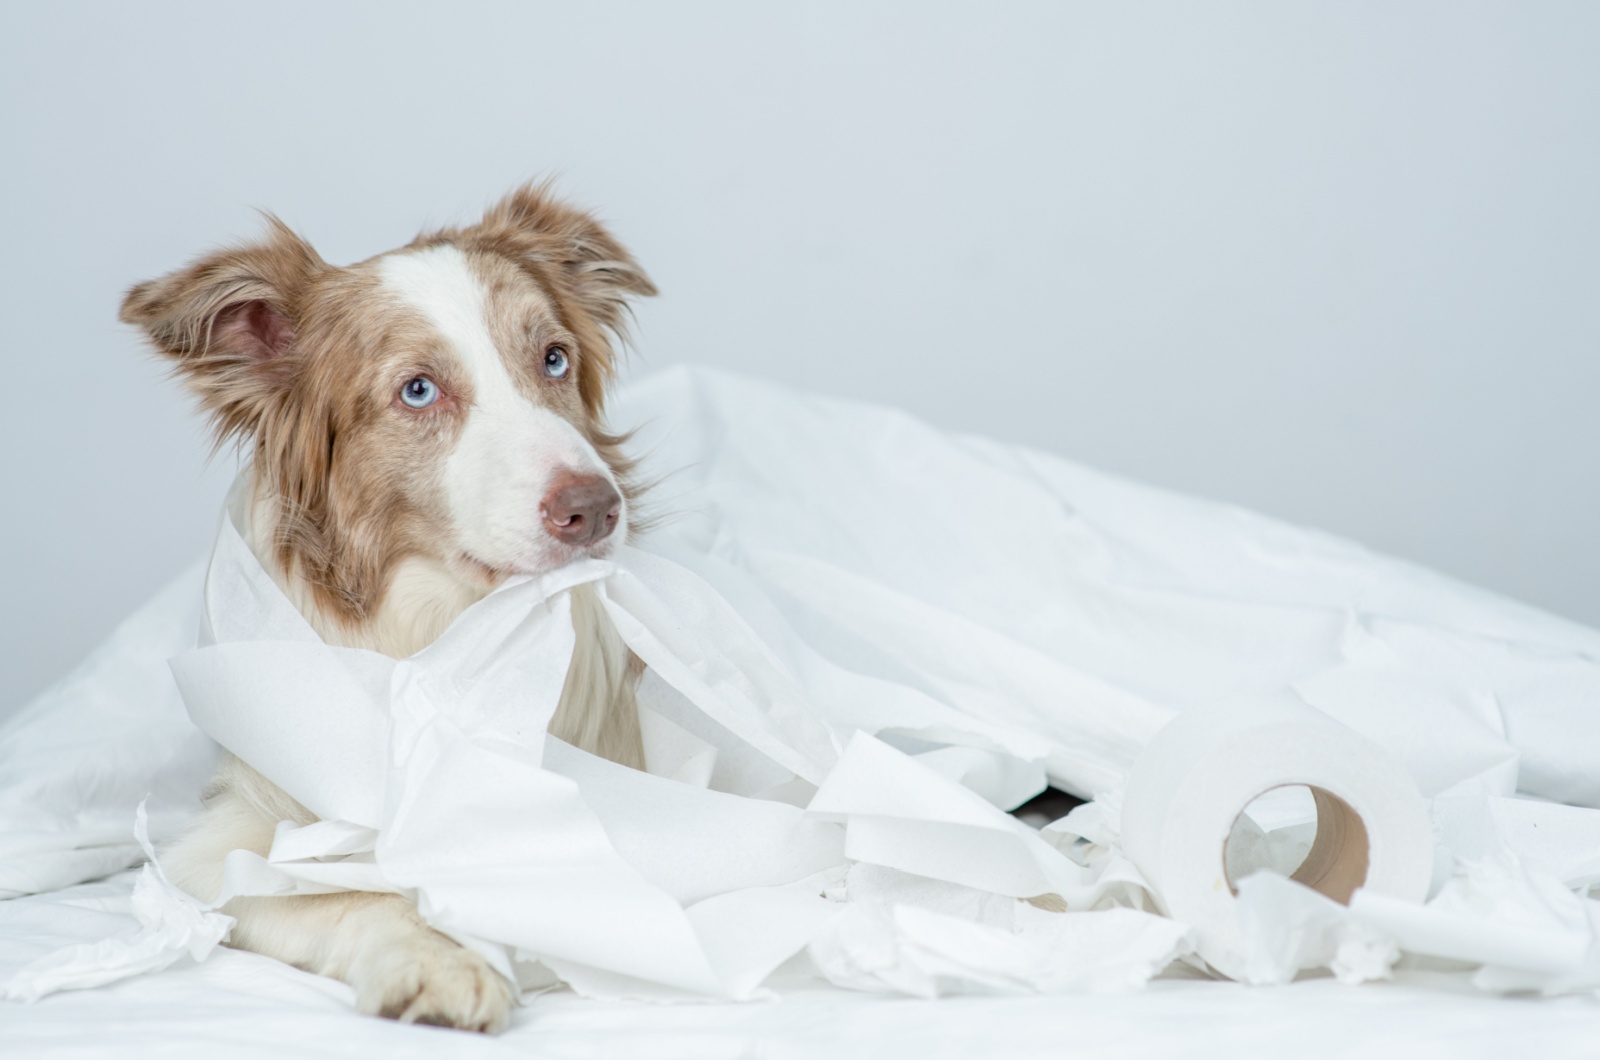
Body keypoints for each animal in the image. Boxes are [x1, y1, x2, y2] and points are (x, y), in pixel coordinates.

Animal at [118, 186, 656, 1031]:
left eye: (555, 358)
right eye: (418, 390)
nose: (596, 509)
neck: (440, 633)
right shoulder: (219, 847)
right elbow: (350, 891)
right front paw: (439, 959)